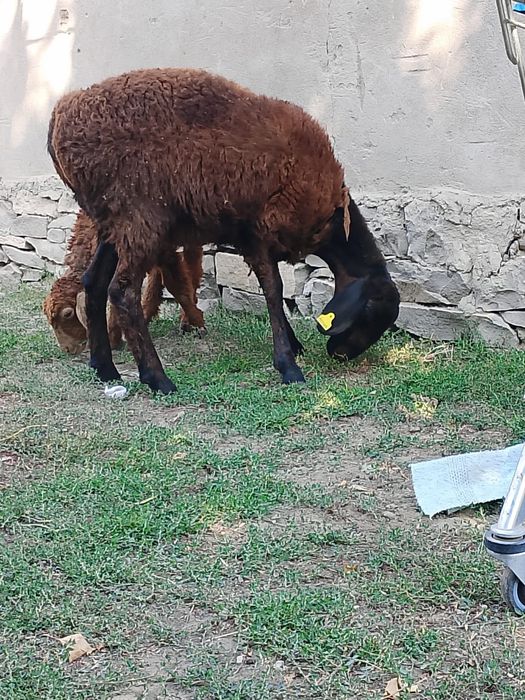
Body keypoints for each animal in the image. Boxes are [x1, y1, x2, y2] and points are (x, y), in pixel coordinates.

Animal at [43, 210, 205, 354]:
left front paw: (197, 321)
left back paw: (186, 321)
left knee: (193, 263)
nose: (68, 349)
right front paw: (115, 338)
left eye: (68, 314)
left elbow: (175, 285)